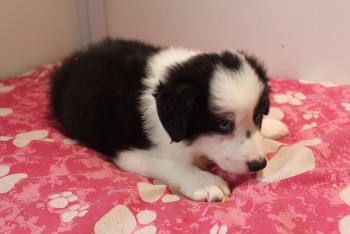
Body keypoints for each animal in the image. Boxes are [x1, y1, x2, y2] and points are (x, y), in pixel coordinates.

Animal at [50, 38, 290, 201]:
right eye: (223, 124)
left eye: (257, 116)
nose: (259, 163)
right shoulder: (128, 152)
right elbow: (169, 164)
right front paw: (206, 183)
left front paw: (271, 125)